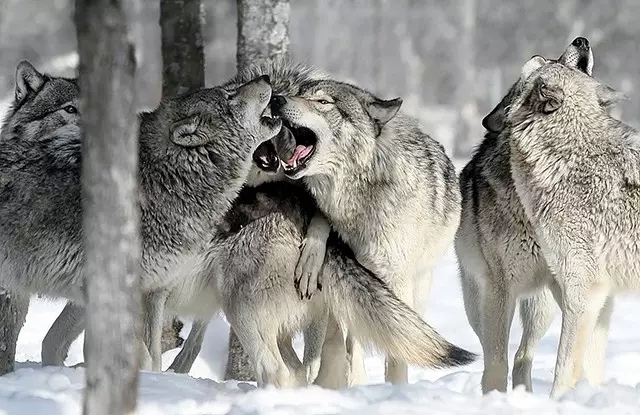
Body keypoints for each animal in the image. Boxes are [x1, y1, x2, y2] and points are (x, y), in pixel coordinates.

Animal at [0, 61, 280, 374]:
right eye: (229, 95)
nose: (266, 77)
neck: (164, 178)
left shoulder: (153, 293)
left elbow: (153, 357)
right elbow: (142, 357)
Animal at [452, 37, 596, 394]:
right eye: (542, 64)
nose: (581, 40)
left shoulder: (570, 284)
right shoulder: (500, 290)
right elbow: (495, 361)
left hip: (541, 306)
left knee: (524, 355)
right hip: (478, 302)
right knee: (495, 351)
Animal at [504, 57, 632, 398]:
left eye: (539, 71)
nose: (538, 56)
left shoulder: (582, 289)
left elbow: (564, 366)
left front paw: (556, 402)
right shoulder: (597, 295)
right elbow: (590, 365)